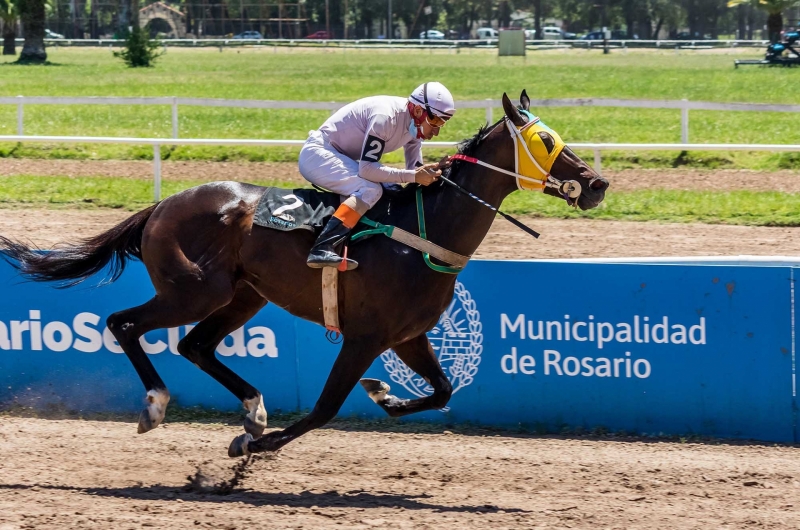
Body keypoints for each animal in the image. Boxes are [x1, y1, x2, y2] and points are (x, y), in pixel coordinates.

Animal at [0, 91, 608, 454]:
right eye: (546, 142)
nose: (599, 184)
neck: (423, 235)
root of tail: (162, 205)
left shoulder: (407, 336)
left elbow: (439, 391)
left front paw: (383, 395)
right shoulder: (365, 336)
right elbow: (325, 407)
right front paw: (258, 447)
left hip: (243, 296)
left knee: (194, 345)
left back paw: (253, 410)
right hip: (193, 291)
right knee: (124, 323)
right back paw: (158, 406)